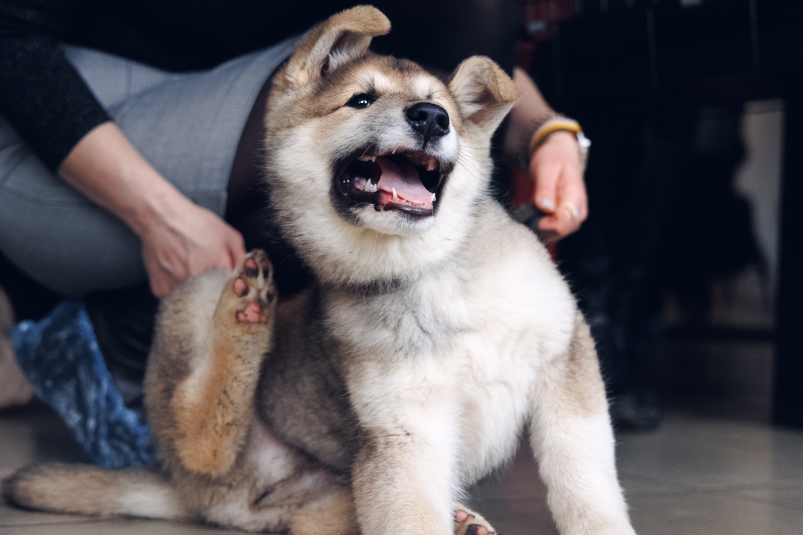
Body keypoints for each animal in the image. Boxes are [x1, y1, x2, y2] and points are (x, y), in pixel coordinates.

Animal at [4, 7, 636, 535]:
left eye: (448, 114)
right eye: (360, 101)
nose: (432, 119)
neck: (434, 271)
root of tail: (192, 496)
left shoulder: (566, 369)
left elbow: (588, 489)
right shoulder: (406, 434)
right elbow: (414, 515)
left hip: (333, 503)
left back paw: (462, 522)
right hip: (200, 295)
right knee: (201, 438)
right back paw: (244, 313)